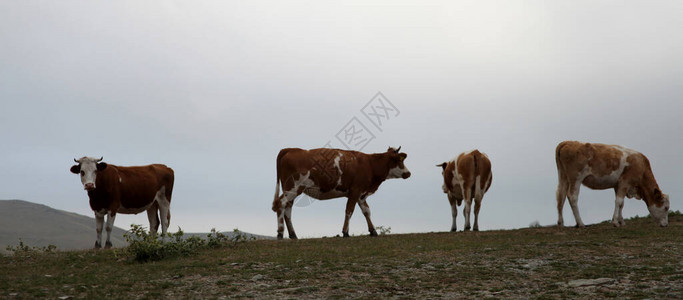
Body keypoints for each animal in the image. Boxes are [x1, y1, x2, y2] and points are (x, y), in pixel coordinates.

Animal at [272, 146, 412, 239]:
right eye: (399, 160)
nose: (408, 173)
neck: (370, 164)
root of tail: (291, 149)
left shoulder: (361, 194)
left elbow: (366, 211)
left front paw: (373, 231)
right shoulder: (355, 190)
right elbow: (349, 210)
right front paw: (345, 232)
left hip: (292, 190)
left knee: (288, 209)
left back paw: (293, 234)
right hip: (293, 187)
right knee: (281, 203)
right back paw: (280, 233)